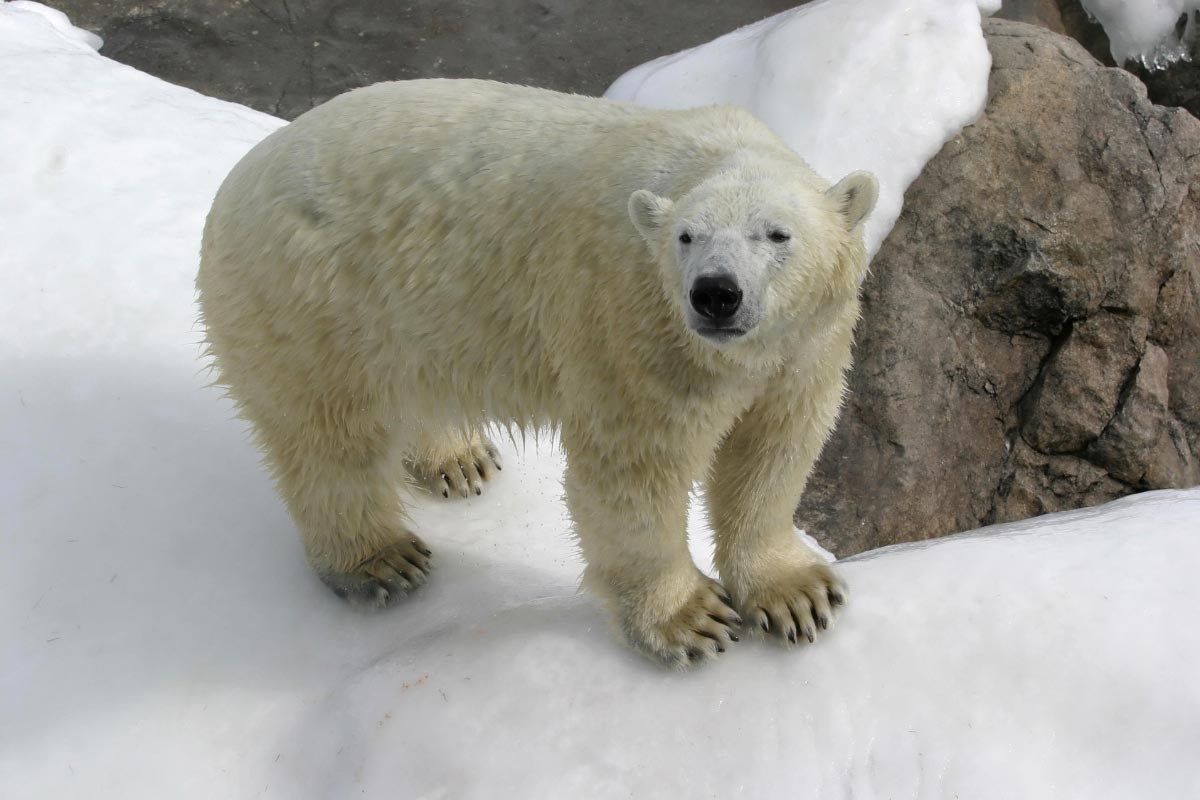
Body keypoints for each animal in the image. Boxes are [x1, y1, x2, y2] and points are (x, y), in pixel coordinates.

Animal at [196, 78, 878, 668]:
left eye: (777, 234)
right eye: (687, 236)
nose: (716, 294)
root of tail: (235, 179)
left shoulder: (809, 347)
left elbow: (774, 450)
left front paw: (798, 596)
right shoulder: (633, 325)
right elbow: (635, 473)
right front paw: (690, 620)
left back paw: (458, 458)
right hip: (311, 302)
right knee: (332, 442)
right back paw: (379, 562)